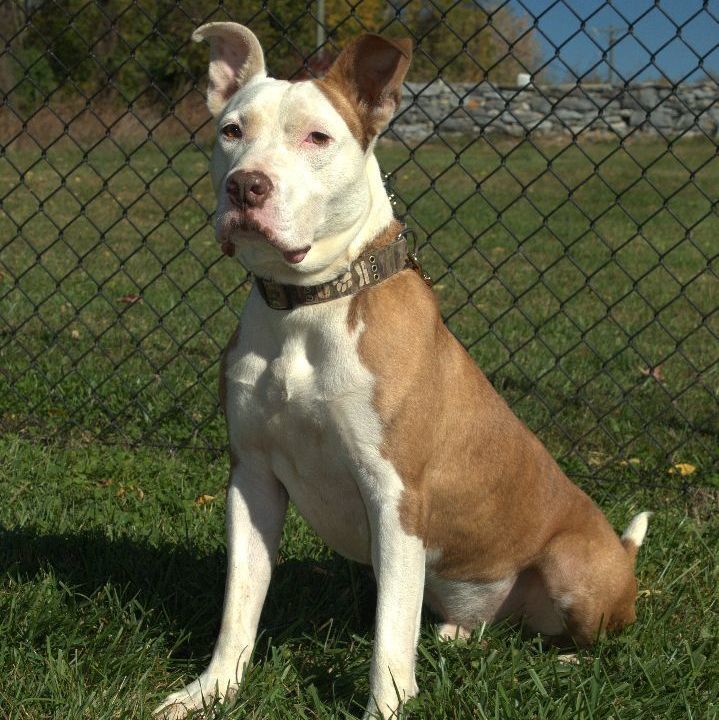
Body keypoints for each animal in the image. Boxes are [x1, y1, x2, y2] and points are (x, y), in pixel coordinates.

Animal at [156, 22, 652, 720]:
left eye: (317, 137)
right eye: (231, 130)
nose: (246, 186)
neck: (308, 307)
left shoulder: (395, 499)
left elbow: (389, 635)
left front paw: (385, 707)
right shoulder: (251, 480)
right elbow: (240, 604)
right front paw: (212, 690)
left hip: (576, 568)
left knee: (592, 636)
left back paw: (571, 663)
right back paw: (456, 634)